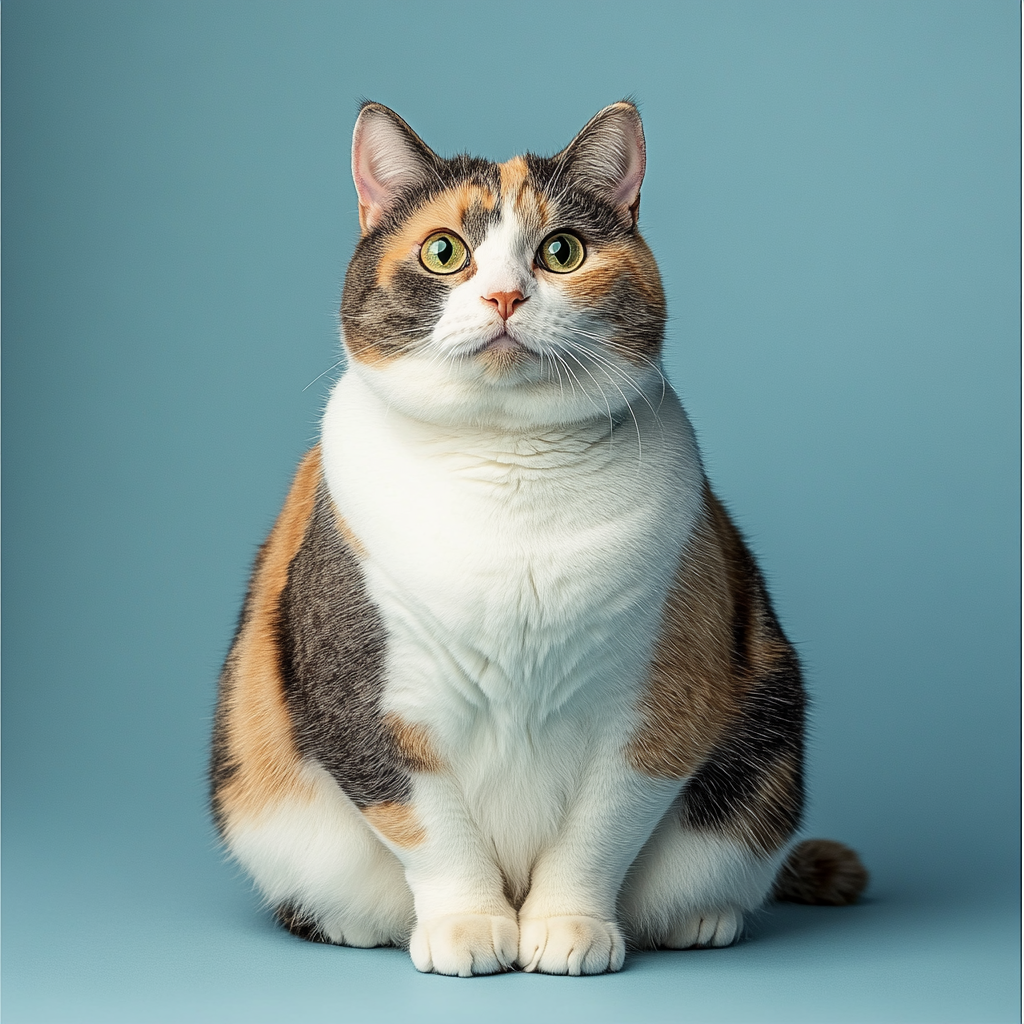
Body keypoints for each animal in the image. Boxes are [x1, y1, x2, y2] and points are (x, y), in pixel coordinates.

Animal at [211, 101, 868, 974]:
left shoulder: (663, 698)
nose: (502, 297)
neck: (509, 465)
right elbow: (432, 826)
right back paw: (355, 923)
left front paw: (568, 926)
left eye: (561, 252)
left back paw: (700, 919)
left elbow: (601, 829)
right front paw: (468, 924)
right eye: (445, 251)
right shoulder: (364, 694)